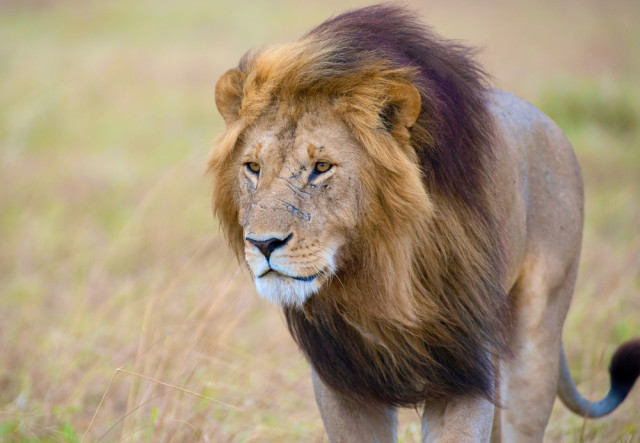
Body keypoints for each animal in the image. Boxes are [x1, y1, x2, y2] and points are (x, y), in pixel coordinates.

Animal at [208, 5, 636, 442]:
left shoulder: (464, 365)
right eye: (253, 167)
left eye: (321, 167)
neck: (381, 272)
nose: (263, 244)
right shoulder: (343, 379)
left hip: (538, 337)